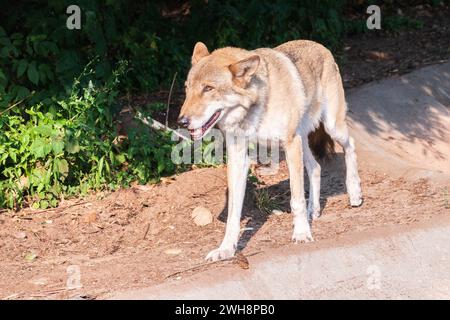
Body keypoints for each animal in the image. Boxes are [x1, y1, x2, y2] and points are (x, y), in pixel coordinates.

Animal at [178, 40, 364, 262]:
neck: (255, 108)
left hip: (331, 128)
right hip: (302, 140)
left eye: (208, 88)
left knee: (351, 145)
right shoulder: (238, 158)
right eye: (187, 89)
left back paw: (354, 193)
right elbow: (233, 214)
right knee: (316, 168)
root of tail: (320, 46)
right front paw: (226, 249)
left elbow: (296, 199)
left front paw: (302, 233)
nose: (181, 121)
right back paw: (314, 209)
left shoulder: (290, 144)